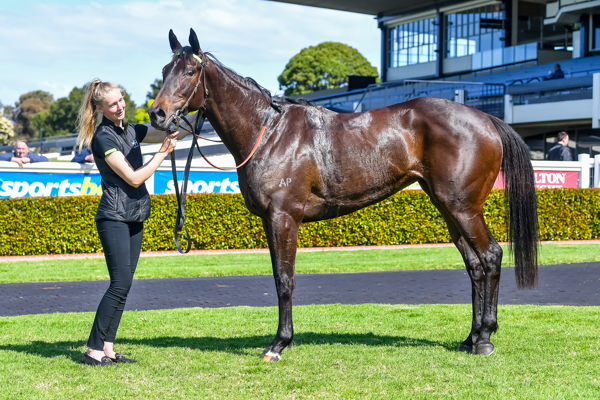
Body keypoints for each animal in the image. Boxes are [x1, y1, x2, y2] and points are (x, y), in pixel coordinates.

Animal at [149, 26, 540, 360]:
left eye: (190, 72)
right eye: (166, 69)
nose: (157, 114)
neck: (269, 132)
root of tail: (487, 120)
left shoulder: (284, 218)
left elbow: (284, 280)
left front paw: (279, 343)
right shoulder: (270, 221)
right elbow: (278, 277)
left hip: (464, 208)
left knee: (490, 256)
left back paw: (485, 338)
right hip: (448, 207)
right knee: (474, 265)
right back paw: (470, 338)